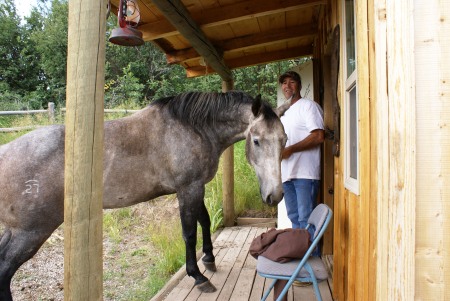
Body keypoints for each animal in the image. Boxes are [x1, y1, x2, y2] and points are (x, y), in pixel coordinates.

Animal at [0, 90, 288, 298]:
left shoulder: (196, 187)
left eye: (284, 140)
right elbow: (189, 233)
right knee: (5, 269)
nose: (275, 196)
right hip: (32, 232)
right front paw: (198, 276)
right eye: (257, 140)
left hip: (17, 231)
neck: (192, 128)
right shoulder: (188, 189)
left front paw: (209, 258)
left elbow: (204, 222)